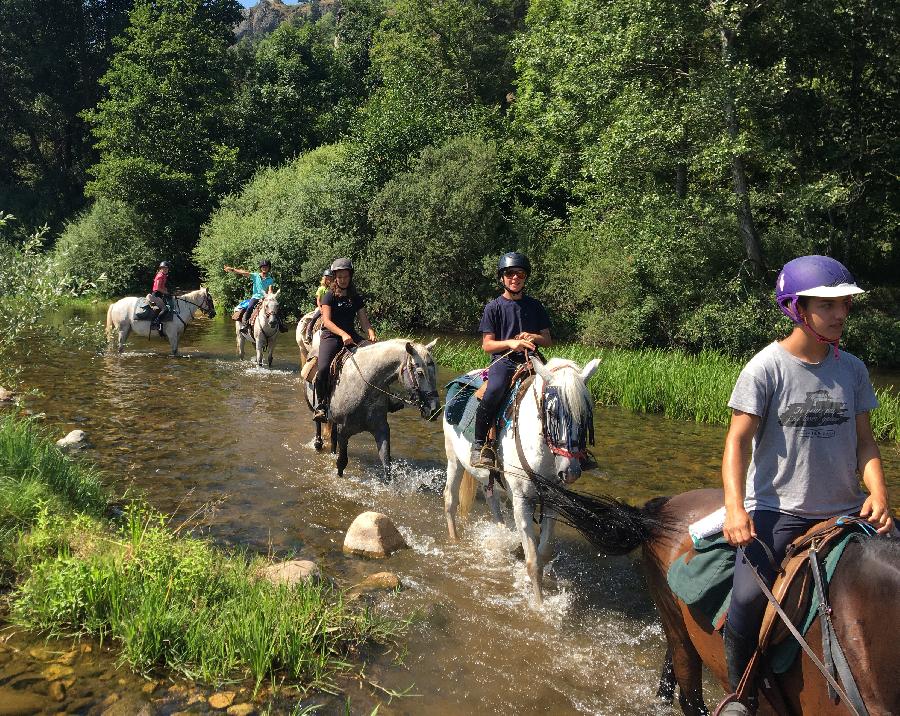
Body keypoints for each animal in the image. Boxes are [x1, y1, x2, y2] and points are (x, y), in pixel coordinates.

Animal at [304, 338, 442, 482]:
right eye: (420, 373)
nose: (434, 410)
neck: (364, 385)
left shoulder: (381, 428)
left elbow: (386, 463)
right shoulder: (344, 431)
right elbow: (341, 462)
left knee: (333, 439)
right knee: (318, 426)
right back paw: (318, 439)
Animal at [442, 356, 596, 604]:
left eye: (585, 415)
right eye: (551, 412)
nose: (570, 471)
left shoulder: (552, 501)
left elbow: (544, 553)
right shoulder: (522, 500)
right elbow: (533, 562)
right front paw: (539, 606)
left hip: (488, 476)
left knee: (491, 500)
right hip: (454, 458)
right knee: (450, 499)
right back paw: (455, 540)